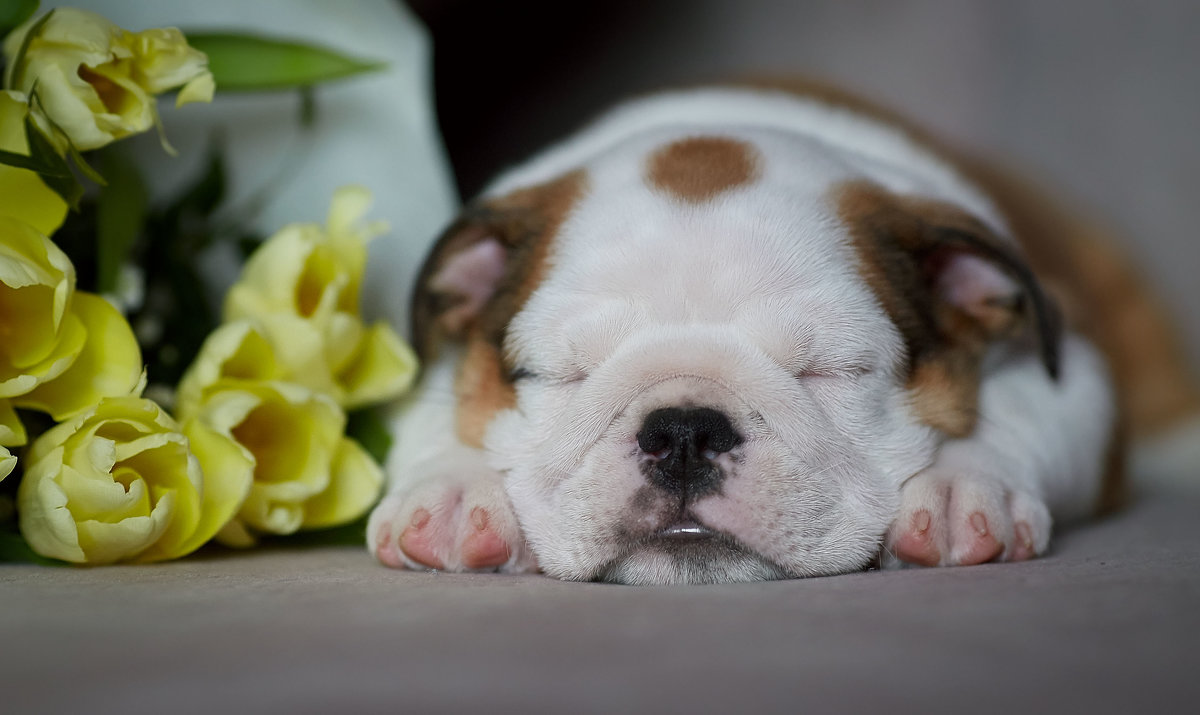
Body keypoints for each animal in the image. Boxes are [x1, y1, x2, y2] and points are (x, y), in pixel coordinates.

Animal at [364, 82, 1200, 585]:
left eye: (829, 372)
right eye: (560, 375)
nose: (683, 429)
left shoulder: (1073, 369)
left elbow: (1022, 414)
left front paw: (965, 485)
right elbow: (438, 418)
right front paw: (452, 490)